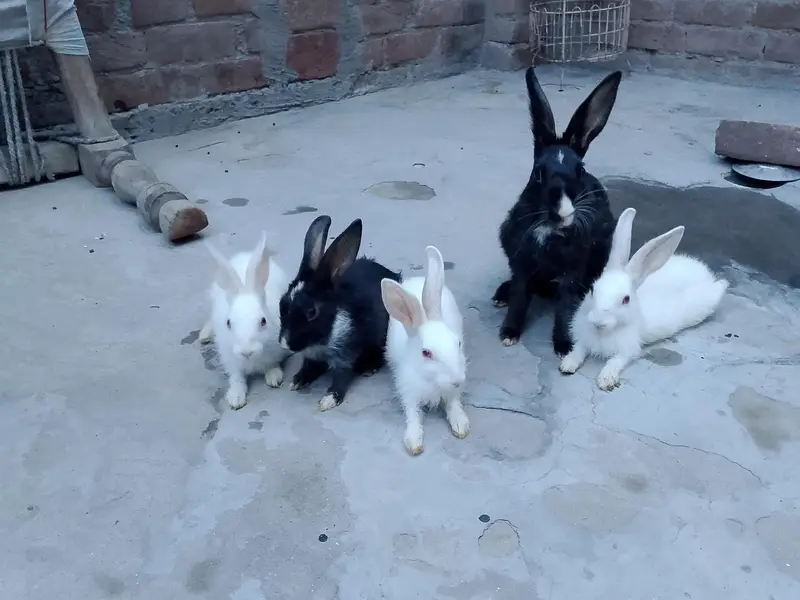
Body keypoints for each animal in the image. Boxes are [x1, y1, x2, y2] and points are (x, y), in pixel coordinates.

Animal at [199, 232, 292, 410]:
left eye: (263, 321)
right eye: (228, 323)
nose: (246, 352)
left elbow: (272, 364)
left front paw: (274, 377)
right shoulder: (230, 358)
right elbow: (236, 377)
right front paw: (235, 398)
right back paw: (204, 335)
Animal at [278, 215, 401, 411]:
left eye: (312, 311)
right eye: (282, 303)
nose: (285, 344)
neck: (320, 342)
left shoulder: (345, 354)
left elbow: (342, 376)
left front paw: (329, 400)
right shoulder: (311, 357)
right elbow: (308, 367)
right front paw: (297, 381)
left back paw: (369, 367)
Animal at [381, 246, 468, 456]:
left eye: (458, 343)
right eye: (426, 353)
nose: (457, 380)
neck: (433, 381)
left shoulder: (453, 392)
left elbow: (453, 404)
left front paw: (460, 425)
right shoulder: (409, 392)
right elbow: (413, 415)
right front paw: (413, 442)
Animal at [493, 65, 623, 357]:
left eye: (581, 171)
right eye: (538, 173)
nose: (563, 212)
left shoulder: (571, 273)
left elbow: (565, 308)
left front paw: (564, 345)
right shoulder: (521, 262)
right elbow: (519, 297)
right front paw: (509, 333)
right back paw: (500, 295)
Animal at [559, 207, 729, 391]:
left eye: (626, 299)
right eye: (592, 289)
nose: (598, 321)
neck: (603, 333)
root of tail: (704, 272)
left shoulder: (627, 349)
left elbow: (616, 361)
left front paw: (606, 379)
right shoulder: (583, 339)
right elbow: (579, 349)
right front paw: (567, 364)